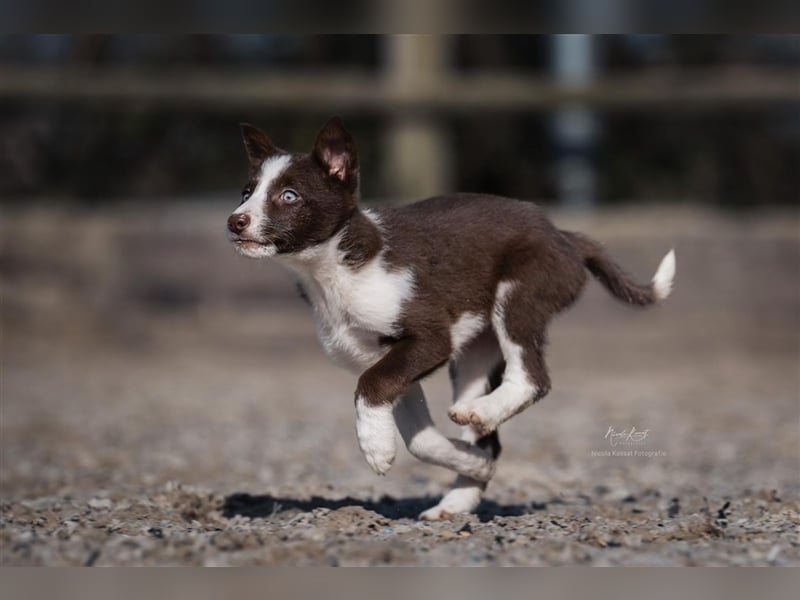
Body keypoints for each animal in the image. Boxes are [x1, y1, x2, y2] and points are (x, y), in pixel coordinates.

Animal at [227, 117, 676, 520]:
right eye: (247, 192)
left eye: (289, 196)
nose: (234, 221)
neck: (332, 270)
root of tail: (563, 235)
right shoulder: (395, 362)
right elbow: (419, 439)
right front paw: (469, 462)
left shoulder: (428, 339)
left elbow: (369, 386)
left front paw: (374, 447)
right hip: (475, 352)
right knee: (489, 436)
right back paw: (460, 495)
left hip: (519, 295)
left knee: (532, 378)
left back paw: (485, 414)